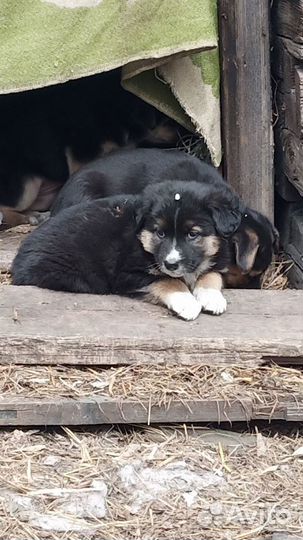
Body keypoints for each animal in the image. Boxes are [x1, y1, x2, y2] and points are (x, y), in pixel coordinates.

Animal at [11, 179, 245, 318]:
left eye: (193, 234)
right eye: (160, 233)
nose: (170, 264)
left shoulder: (215, 261)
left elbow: (211, 275)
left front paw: (211, 298)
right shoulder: (127, 275)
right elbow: (167, 281)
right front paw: (187, 302)